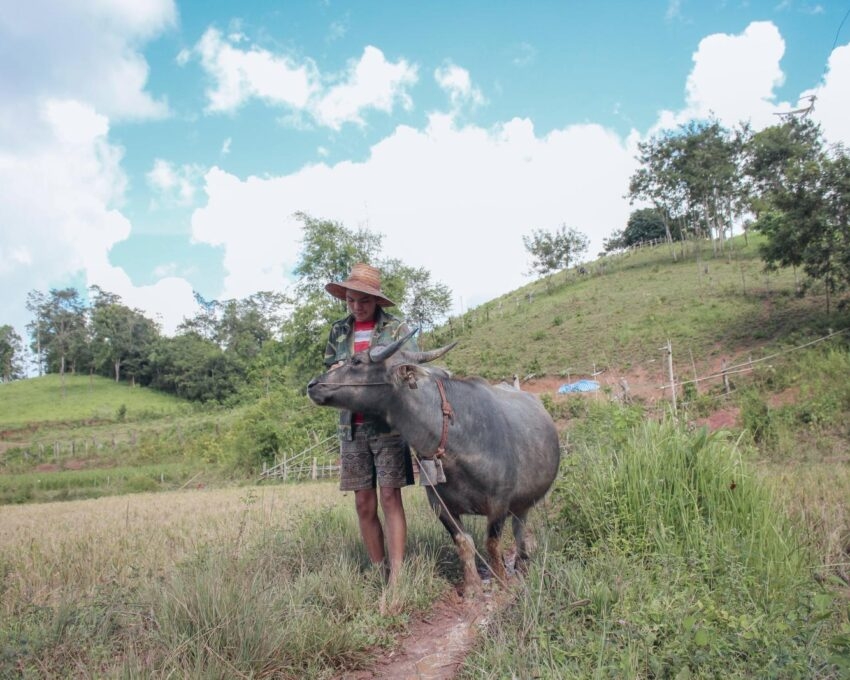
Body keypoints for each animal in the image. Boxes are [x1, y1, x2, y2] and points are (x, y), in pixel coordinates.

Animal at [306, 329, 561, 593]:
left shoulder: (499, 503)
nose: (312, 384)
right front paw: (472, 586)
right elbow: (464, 542)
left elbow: (491, 543)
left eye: (357, 361)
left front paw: (500, 578)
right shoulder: (440, 505)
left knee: (520, 528)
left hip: (525, 499)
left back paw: (521, 563)